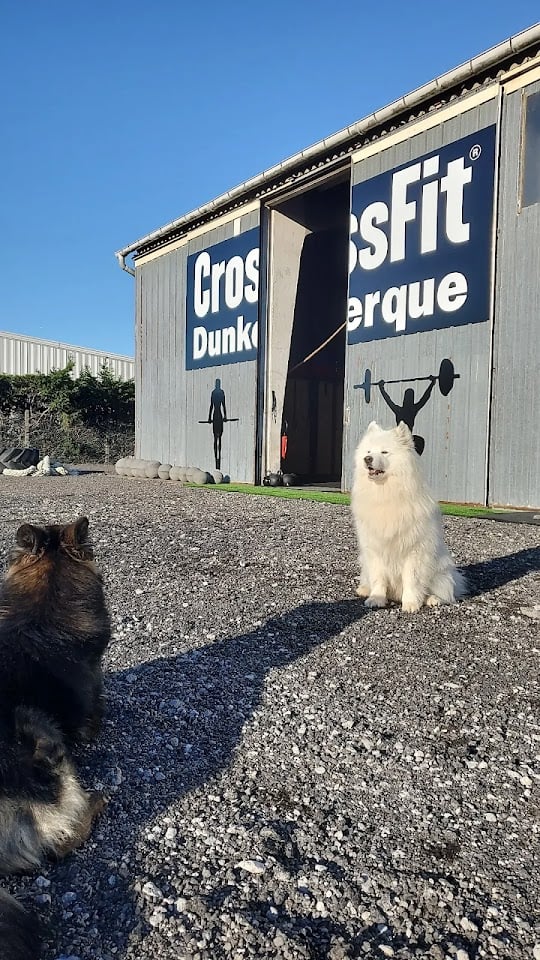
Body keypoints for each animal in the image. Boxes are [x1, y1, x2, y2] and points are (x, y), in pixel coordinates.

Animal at [350, 422, 464, 616]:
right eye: (368, 451)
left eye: (384, 452)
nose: (367, 460)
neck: (385, 495)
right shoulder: (375, 549)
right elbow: (378, 577)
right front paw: (376, 599)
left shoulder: (414, 551)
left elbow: (412, 579)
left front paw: (411, 603)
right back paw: (364, 589)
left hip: (440, 570)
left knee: (445, 591)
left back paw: (433, 599)